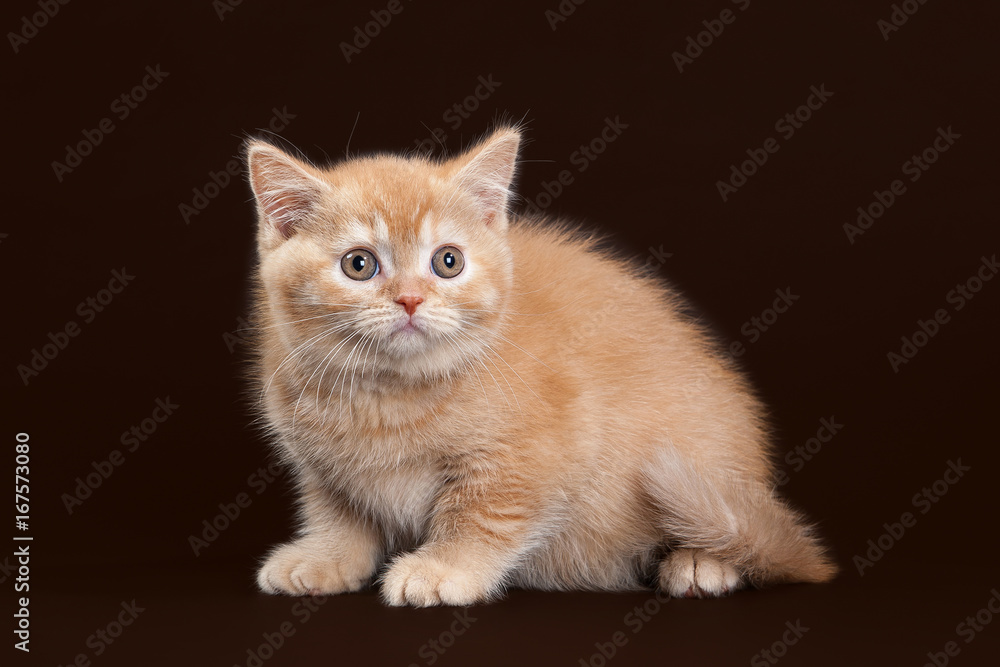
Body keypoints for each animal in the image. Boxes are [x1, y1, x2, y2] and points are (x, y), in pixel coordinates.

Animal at [242, 125, 836, 604]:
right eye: (359, 264)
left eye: (448, 261)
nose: (410, 300)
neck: (388, 394)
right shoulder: (320, 465)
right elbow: (337, 510)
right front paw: (324, 557)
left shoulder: (546, 449)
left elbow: (483, 514)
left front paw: (443, 569)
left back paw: (701, 562)